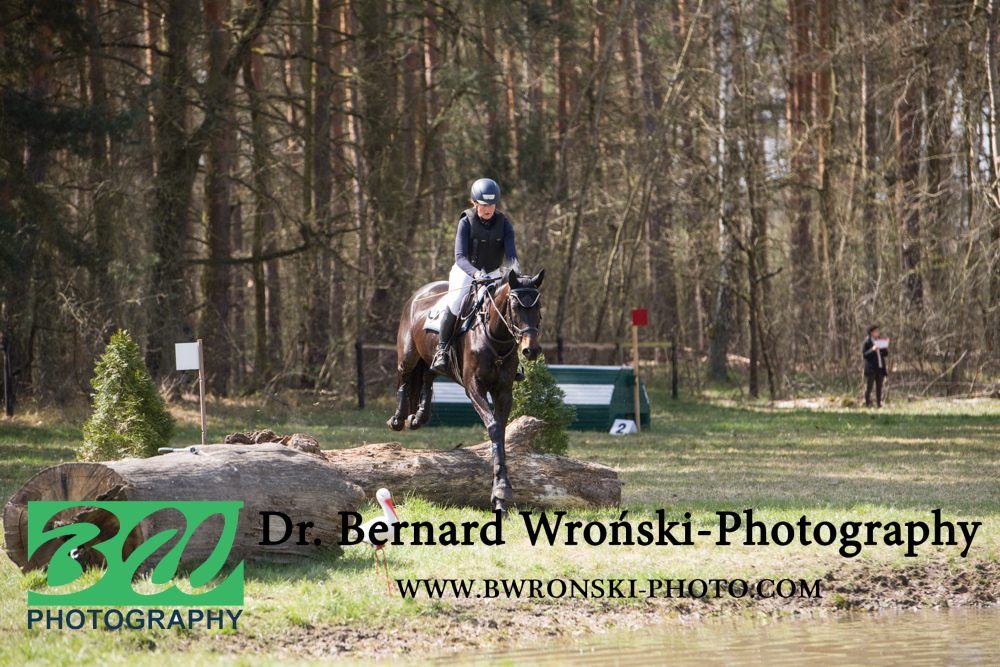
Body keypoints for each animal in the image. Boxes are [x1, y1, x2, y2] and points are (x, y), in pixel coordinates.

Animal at [388, 268, 545, 517]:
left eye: (538, 307)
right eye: (515, 305)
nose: (532, 350)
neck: (496, 337)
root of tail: (420, 293)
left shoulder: (504, 392)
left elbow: (500, 433)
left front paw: (500, 493)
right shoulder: (474, 387)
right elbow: (493, 427)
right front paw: (501, 489)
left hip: (429, 358)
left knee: (428, 376)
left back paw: (419, 417)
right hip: (409, 354)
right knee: (405, 376)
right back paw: (399, 418)